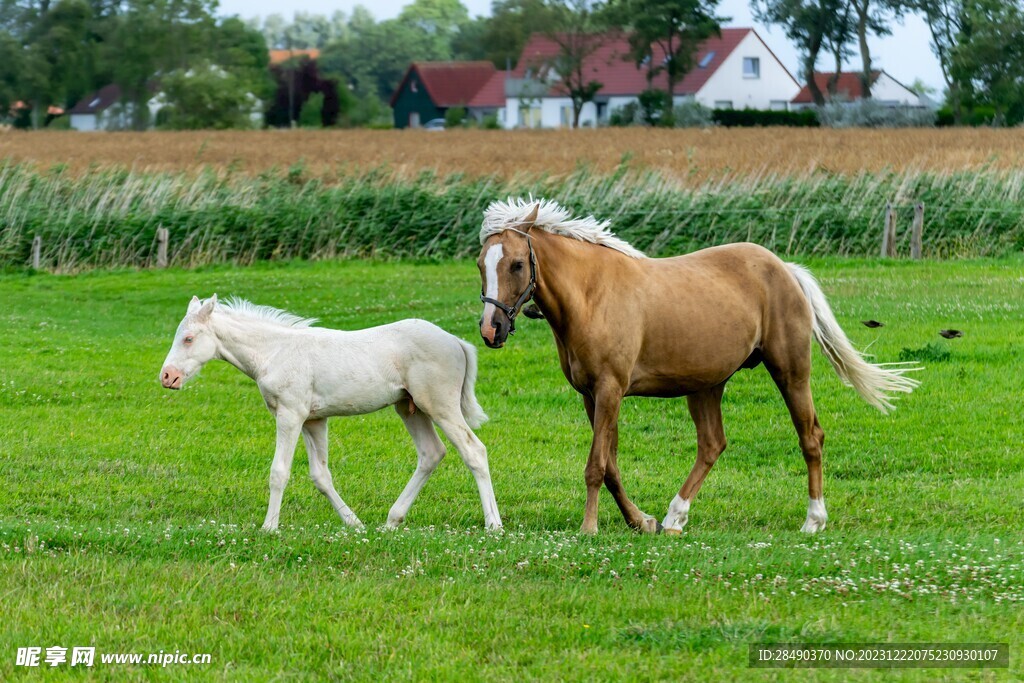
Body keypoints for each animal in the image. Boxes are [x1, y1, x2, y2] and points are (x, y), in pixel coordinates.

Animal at [156, 296, 503, 532]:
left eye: (188, 338)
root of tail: (456, 341)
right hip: (409, 407)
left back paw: (493, 524)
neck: (275, 351)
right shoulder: (313, 420)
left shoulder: (290, 414)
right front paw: (354, 523)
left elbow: (279, 472)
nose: (167, 377)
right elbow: (320, 476)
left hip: (439, 405)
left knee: (474, 451)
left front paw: (269, 527)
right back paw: (392, 520)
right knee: (432, 453)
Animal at [479, 197, 921, 532]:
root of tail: (785, 270)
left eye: (517, 264)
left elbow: (596, 465)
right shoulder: (592, 395)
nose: (490, 329)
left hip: (791, 373)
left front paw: (590, 528)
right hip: (706, 385)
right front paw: (641, 521)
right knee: (712, 444)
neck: (591, 295)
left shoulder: (610, 390)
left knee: (810, 436)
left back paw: (814, 519)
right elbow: (612, 467)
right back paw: (675, 516)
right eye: (482, 264)